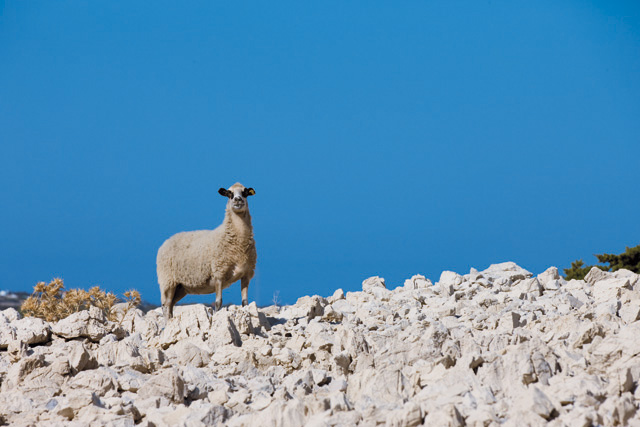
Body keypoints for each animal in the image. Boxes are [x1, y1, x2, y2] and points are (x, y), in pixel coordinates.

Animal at [157, 183, 257, 320]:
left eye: (245, 192)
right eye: (229, 193)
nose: (238, 200)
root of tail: (165, 242)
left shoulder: (246, 274)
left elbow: (245, 302)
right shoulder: (219, 274)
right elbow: (218, 302)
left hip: (181, 287)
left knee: (171, 305)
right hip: (168, 281)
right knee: (166, 305)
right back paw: (167, 323)